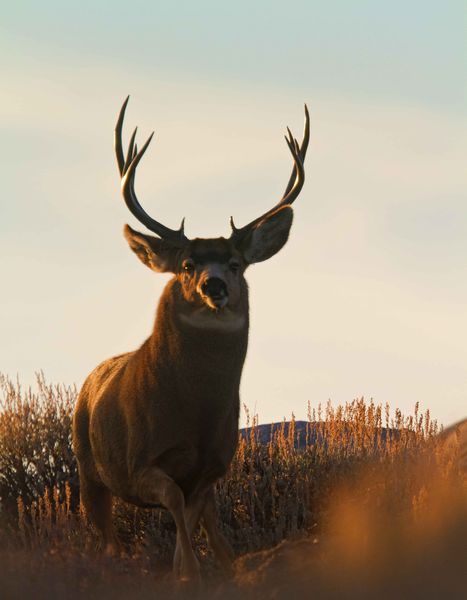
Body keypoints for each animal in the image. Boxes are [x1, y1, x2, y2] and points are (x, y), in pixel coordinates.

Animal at [71, 97, 308, 580]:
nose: (213, 285)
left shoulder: (212, 468)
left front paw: (189, 572)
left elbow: (194, 516)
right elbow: (177, 506)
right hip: (89, 468)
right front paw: (188, 574)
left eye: (235, 263)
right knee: (105, 538)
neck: (194, 409)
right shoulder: (140, 464)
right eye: (186, 264)